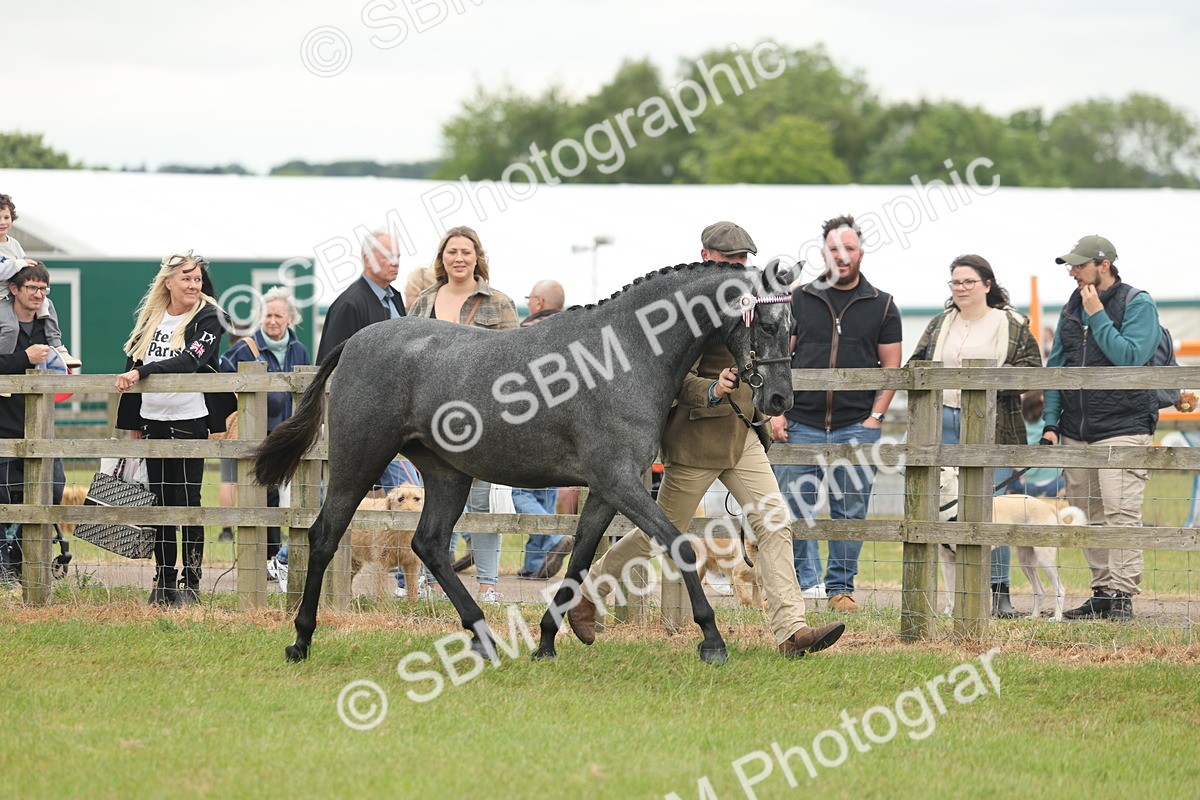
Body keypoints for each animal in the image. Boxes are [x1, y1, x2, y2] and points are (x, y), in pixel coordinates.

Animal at [253, 261, 795, 664]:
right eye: (767, 324)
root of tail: (355, 342)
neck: (625, 353)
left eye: (793, 328)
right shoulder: (621, 482)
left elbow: (579, 558)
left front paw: (549, 641)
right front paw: (712, 640)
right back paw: (301, 640)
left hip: (447, 473)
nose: (780, 400)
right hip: (358, 461)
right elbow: (677, 545)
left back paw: (484, 639)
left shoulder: (605, 489)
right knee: (324, 537)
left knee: (429, 544)